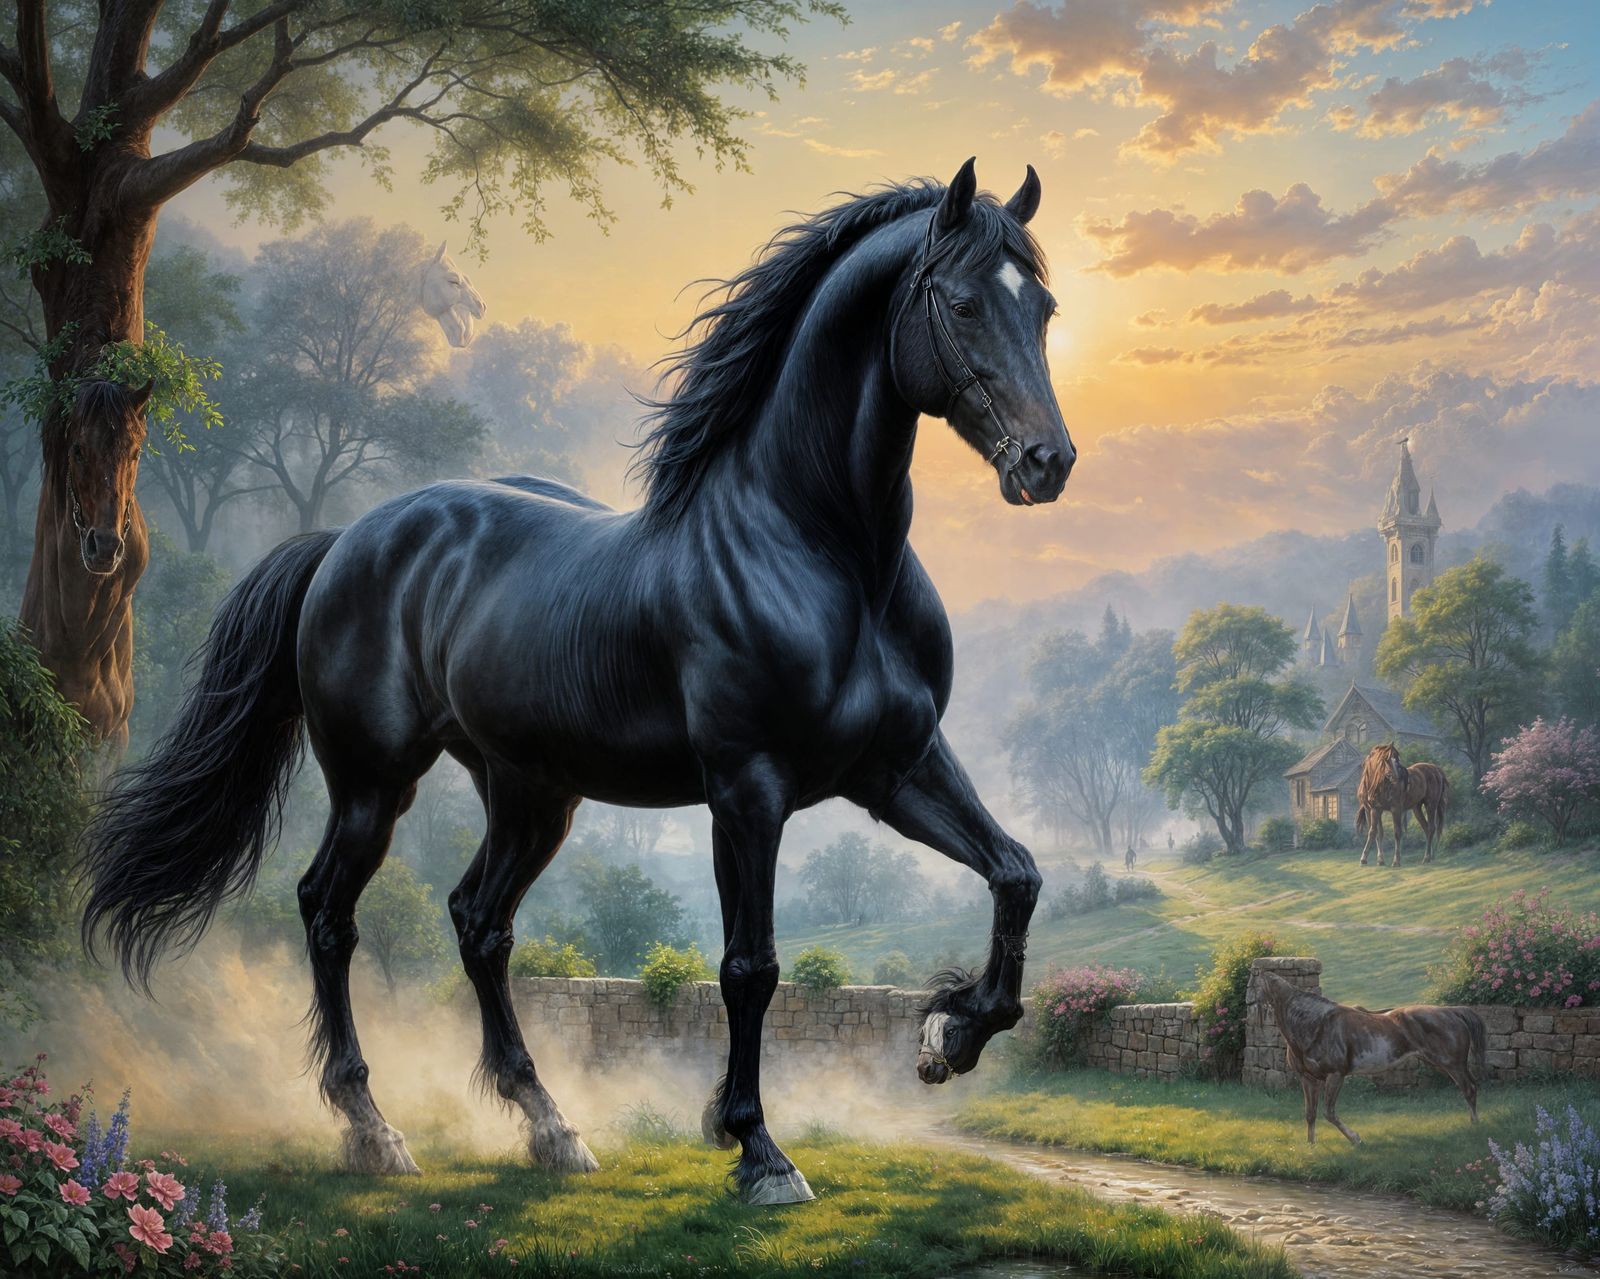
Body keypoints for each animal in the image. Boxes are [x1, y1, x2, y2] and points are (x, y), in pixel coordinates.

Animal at [80, 160, 1074, 1206]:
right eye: (962, 303)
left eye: (1042, 307)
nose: (1047, 463)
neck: (822, 552)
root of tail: (346, 539)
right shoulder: (748, 789)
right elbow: (750, 966)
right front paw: (757, 1147)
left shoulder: (898, 768)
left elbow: (1016, 872)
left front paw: (947, 1033)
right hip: (374, 784)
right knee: (328, 911)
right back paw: (373, 1128)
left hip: (530, 793)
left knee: (479, 923)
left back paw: (549, 1126)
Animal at [1251, 970, 1485, 1144]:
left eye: (1255, 985)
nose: (1251, 1008)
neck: (1316, 1025)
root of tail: (1452, 1012)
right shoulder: (1308, 1079)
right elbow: (1310, 1114)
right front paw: (1311, 1146)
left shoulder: (1335, 1075)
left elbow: (1330, 1113)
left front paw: (1356, 1139)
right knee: (1471, 1088)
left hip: (1452, 1064)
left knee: (1469, 1089)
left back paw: (1474, 1127)